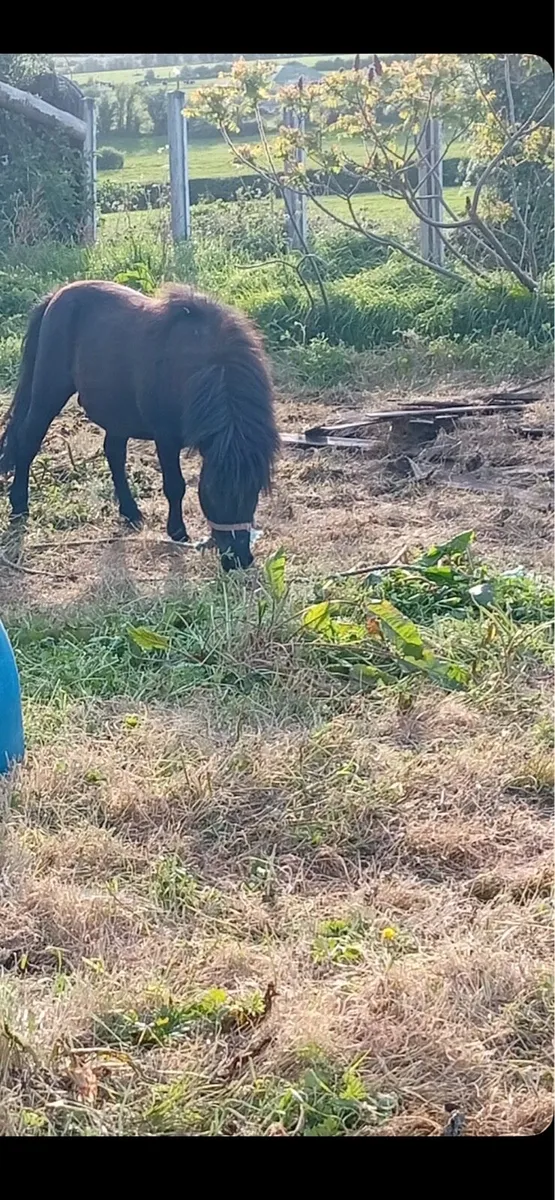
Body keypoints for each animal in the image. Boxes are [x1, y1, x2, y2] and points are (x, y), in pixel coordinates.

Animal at [0, 280, 280, 571]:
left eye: (253, 492)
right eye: (213, 492)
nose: (239, 559)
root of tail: (56, 296)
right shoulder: (166, 438)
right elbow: (175, 486)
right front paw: (178, 532)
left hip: (116, 414)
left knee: (113, 453)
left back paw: (130, 511)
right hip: (49, 393)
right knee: (28, 440)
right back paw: (19, 506)